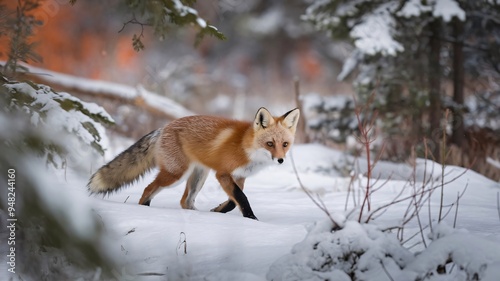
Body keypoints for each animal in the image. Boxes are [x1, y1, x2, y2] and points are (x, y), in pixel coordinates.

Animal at [87, 107, 298, 219]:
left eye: (285, 144)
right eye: (270, 144)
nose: (280, 160)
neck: (247, 147)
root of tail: (164, 127)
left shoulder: (239, 176)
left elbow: (233, 201)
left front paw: (218, 211)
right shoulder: (222, 173)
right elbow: (241, 198)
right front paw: (252, 219)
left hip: (199, 175)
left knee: (185, 201)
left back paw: (199, 217)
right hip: (176, 175)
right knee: (148, 189)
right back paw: (145, 211)